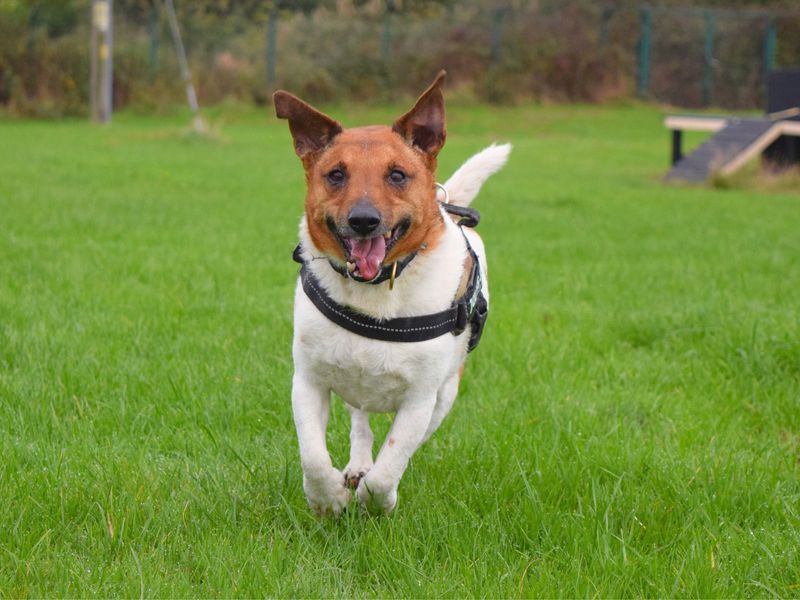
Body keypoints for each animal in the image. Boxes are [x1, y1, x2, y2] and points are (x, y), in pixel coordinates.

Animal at [276, 68, 510, 512]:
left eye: (398, 175)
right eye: (336, 174)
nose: (363, 220)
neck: (374, 291)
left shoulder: (421, 398)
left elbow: (392, 461)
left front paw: (376, 502)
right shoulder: (307, 381)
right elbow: (313, 455)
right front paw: (328, 500)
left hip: (446, 393)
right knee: (361, 424)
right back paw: (355, 466)